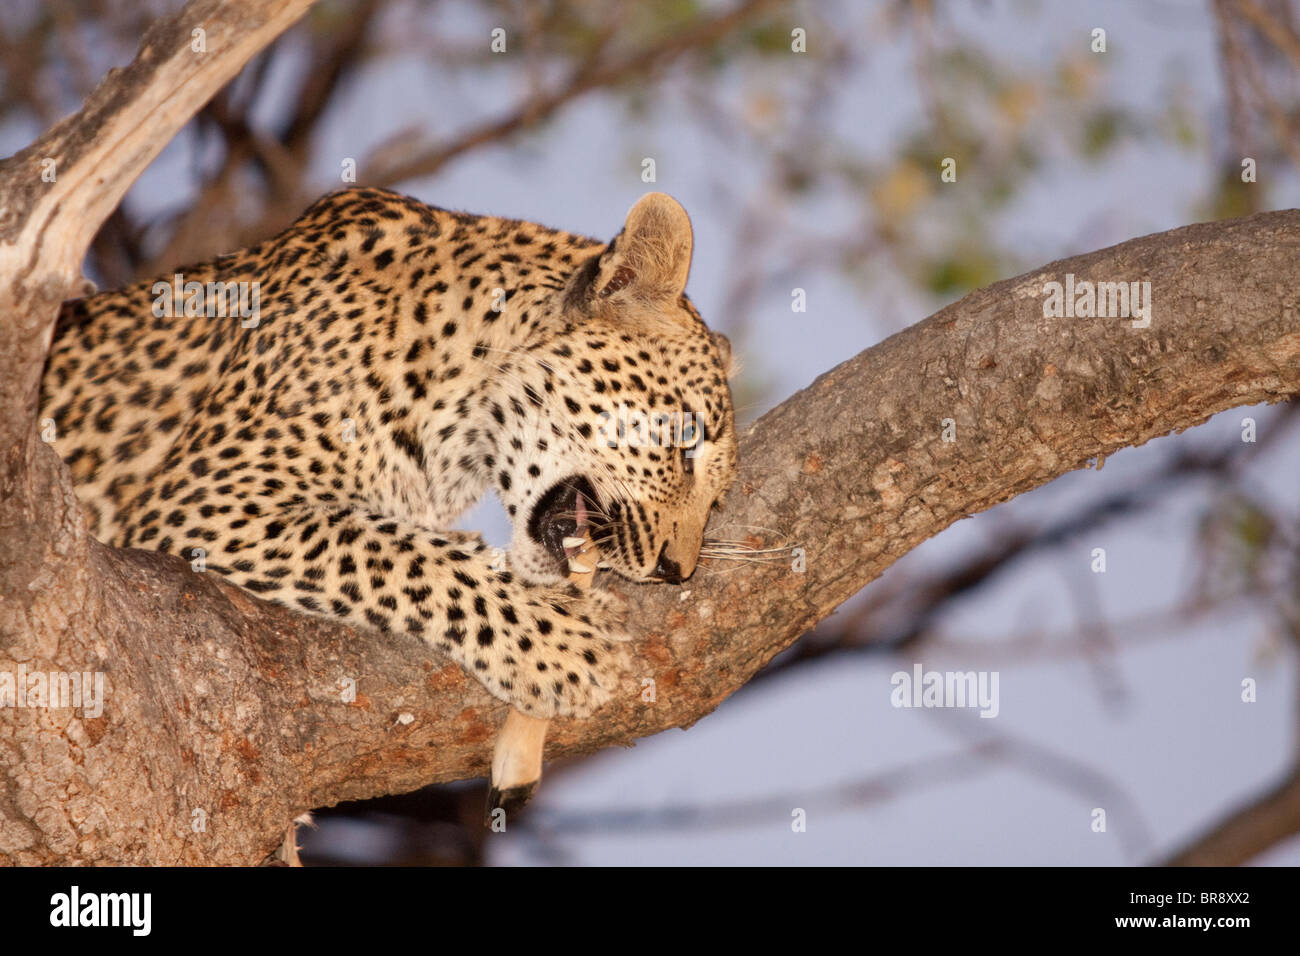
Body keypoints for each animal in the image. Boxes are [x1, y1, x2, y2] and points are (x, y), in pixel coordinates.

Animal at [38, 184, 733, 733]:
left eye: (719, 499)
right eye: (684, 441)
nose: (676, 570)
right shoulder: (207, 496)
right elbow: (401, 553)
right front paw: (561, 641)